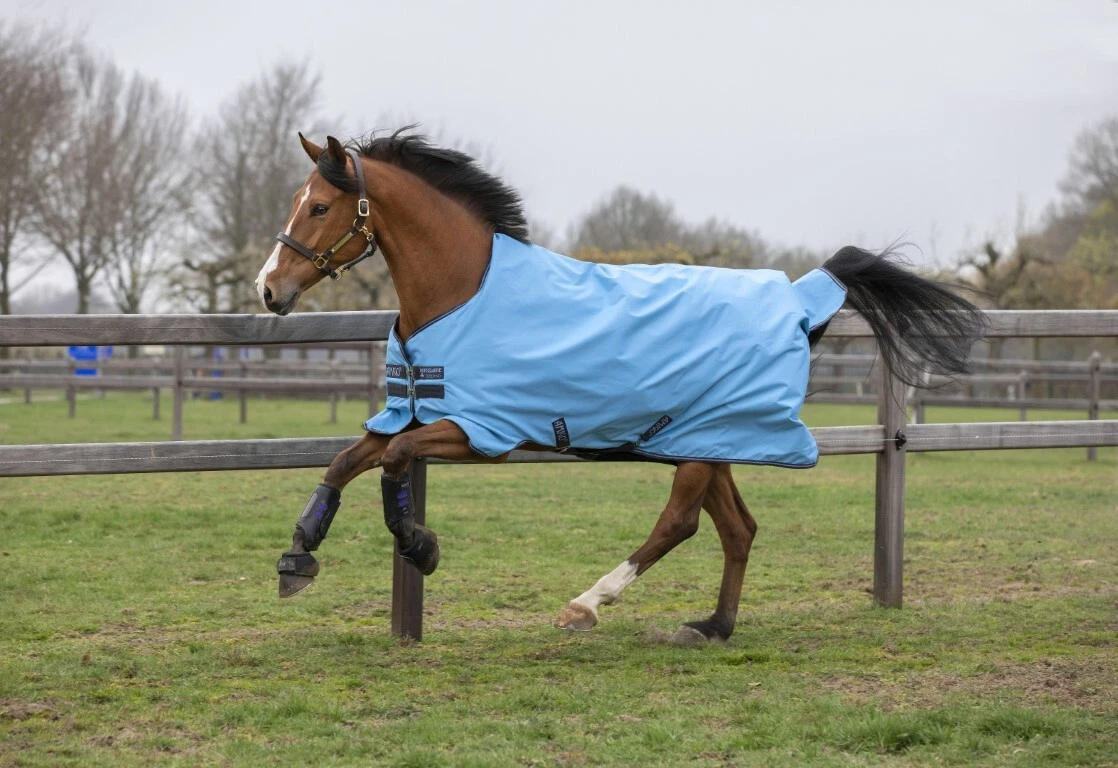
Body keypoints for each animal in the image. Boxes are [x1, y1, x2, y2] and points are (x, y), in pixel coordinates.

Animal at [258, 130, 985, 643]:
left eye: (318, 206)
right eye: (294, 202)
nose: (270, 289)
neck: (462, 293)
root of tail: (800, 299)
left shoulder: (479, 430)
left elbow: (394, 463)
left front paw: (421, 546)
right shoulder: (408, 414)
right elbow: (346, 461)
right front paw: (298, 559)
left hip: (698, 446)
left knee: (681, 523)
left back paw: (586, 605)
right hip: (708, 440)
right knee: (738, 529)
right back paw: (712, 627)